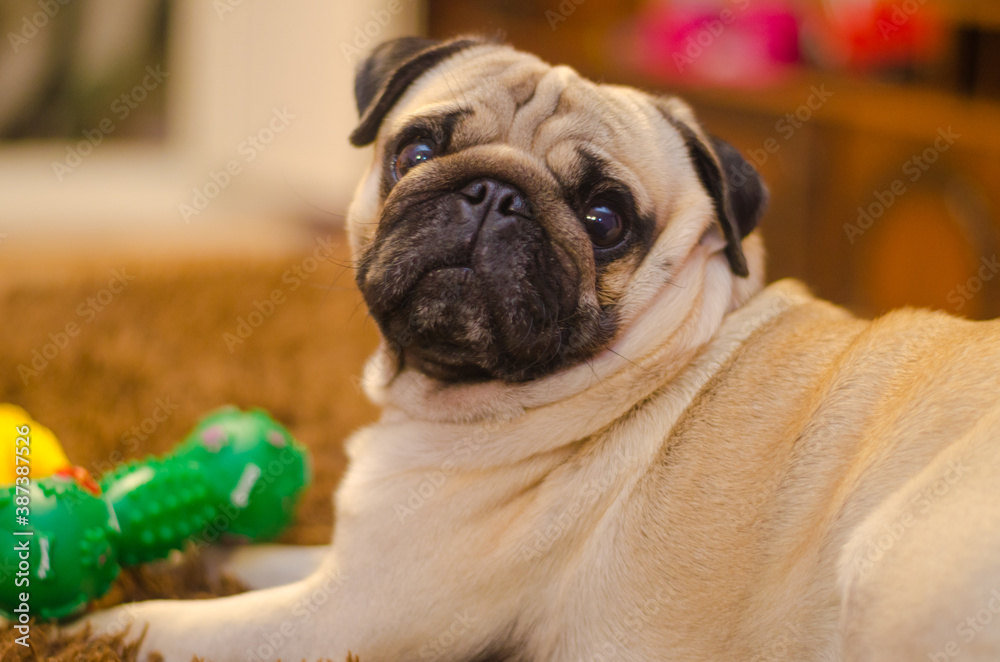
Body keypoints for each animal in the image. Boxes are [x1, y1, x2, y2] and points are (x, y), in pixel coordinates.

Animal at [78, 35, 1000, 662]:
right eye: (416, 150)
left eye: (605, 218)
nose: (494, 194)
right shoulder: (352, 563)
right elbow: (258, 557)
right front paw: (194, 552)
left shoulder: (339, 616)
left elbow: (160, 626)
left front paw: (91, 620)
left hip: (886, 569)